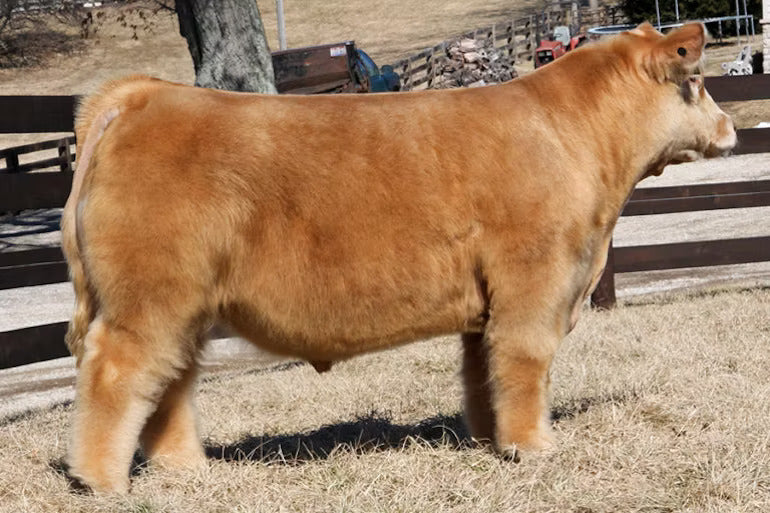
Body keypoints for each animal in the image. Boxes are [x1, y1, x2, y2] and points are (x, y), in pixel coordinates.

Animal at [61, 22, 736, 493]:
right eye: (699, 82)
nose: (731, 128)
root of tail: (145, 95)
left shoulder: (486, 306)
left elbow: (482, 373)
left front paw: (490, 439)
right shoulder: (535, 282)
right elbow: (524, 364)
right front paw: (534, 447)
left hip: (183, 306)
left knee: (170, 382)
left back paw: (185, 470)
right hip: (148, 298)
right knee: (115, 374)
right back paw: (103, 482)